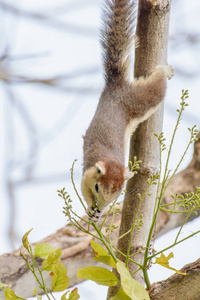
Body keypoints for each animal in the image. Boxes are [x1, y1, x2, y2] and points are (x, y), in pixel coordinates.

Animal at [81, 0, 173, 220]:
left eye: (118, 194)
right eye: (97, 187)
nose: (100, 208)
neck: (110, 158)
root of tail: (117, 87)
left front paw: (97, 212)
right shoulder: (87, 173)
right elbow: (83, 190)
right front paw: (90, 209)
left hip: (140, 102)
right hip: (139, 101)